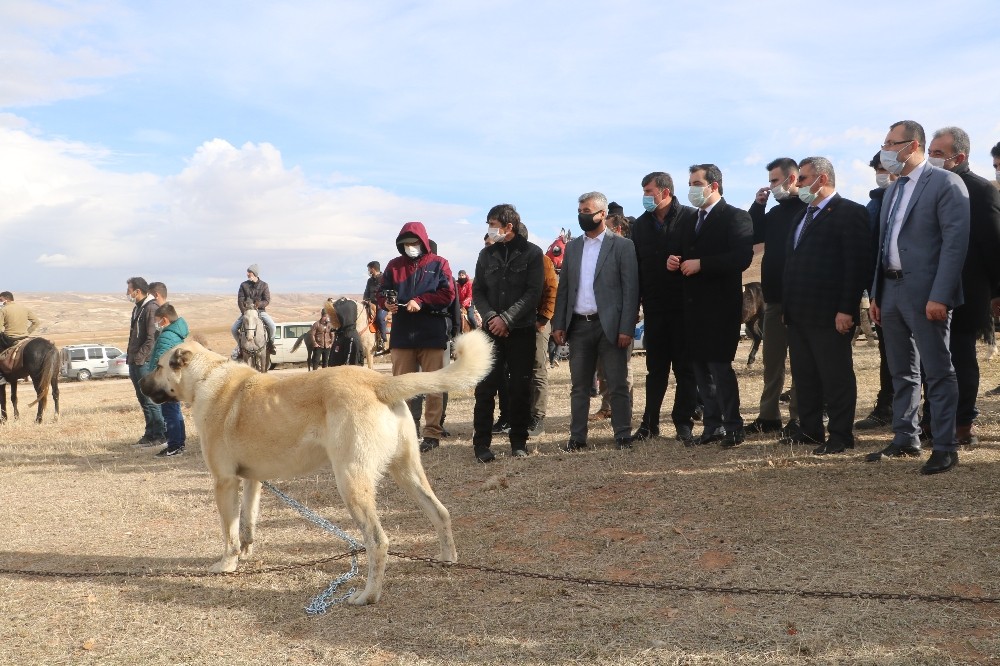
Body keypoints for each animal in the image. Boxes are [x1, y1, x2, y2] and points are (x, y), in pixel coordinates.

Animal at [140, 328, 492, 600]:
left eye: (158, 365)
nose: (141, 384)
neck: (206, 378)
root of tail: (377, 382)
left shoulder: (224, 482)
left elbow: (228, 532)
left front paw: (227, 563)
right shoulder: (252, 481)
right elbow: (247, 524)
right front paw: (246, 553)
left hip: (351, 483)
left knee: (378, 542)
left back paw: (368, 595)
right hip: (406, 472)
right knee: (440, 512)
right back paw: (447, 560)